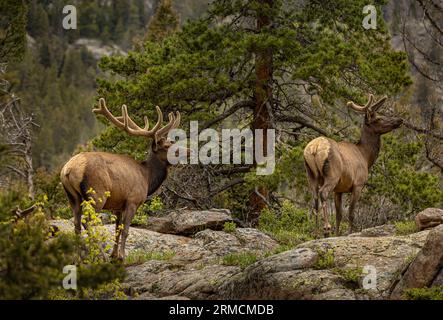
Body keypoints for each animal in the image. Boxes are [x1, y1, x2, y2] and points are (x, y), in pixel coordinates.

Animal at [59, 99, 186, 262]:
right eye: (167, 146)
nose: (190, 151)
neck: (147, 178)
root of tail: (68, 170)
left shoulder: (117, 205)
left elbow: (117, 229)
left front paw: (114, 254)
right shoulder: (133, 200)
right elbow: (125, 230)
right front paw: (122, 257)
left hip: (72, 197)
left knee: (76, 224)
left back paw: (78, 258)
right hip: (97, 194)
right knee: (87, 222)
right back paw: (101, 257)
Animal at [306, 94, 402, 236]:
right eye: (379, 118)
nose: (399, 120)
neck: (365, 157)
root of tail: (314, 148)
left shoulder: (339, 190)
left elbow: (339, 215)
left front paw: (337, 234)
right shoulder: (358, 184)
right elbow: (351, 213)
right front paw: (349, 232)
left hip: (311, 174)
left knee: (315, 197)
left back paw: (316, 232)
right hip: (332, 174)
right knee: (323, 193)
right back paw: (326, 228)